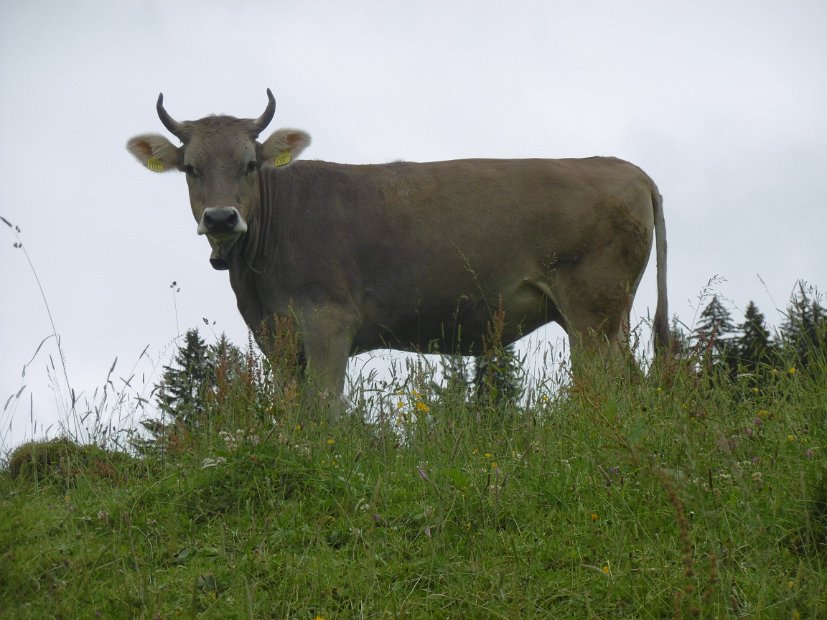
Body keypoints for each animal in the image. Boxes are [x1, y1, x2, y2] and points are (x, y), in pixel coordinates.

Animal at [131, 89, 672, 414]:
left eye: (248, 164)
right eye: (191, 168)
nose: (221, 218)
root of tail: (624, 167)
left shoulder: (328, 321)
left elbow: (322, 408)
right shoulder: (276, 335)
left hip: (594, 309)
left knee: (606, 383)